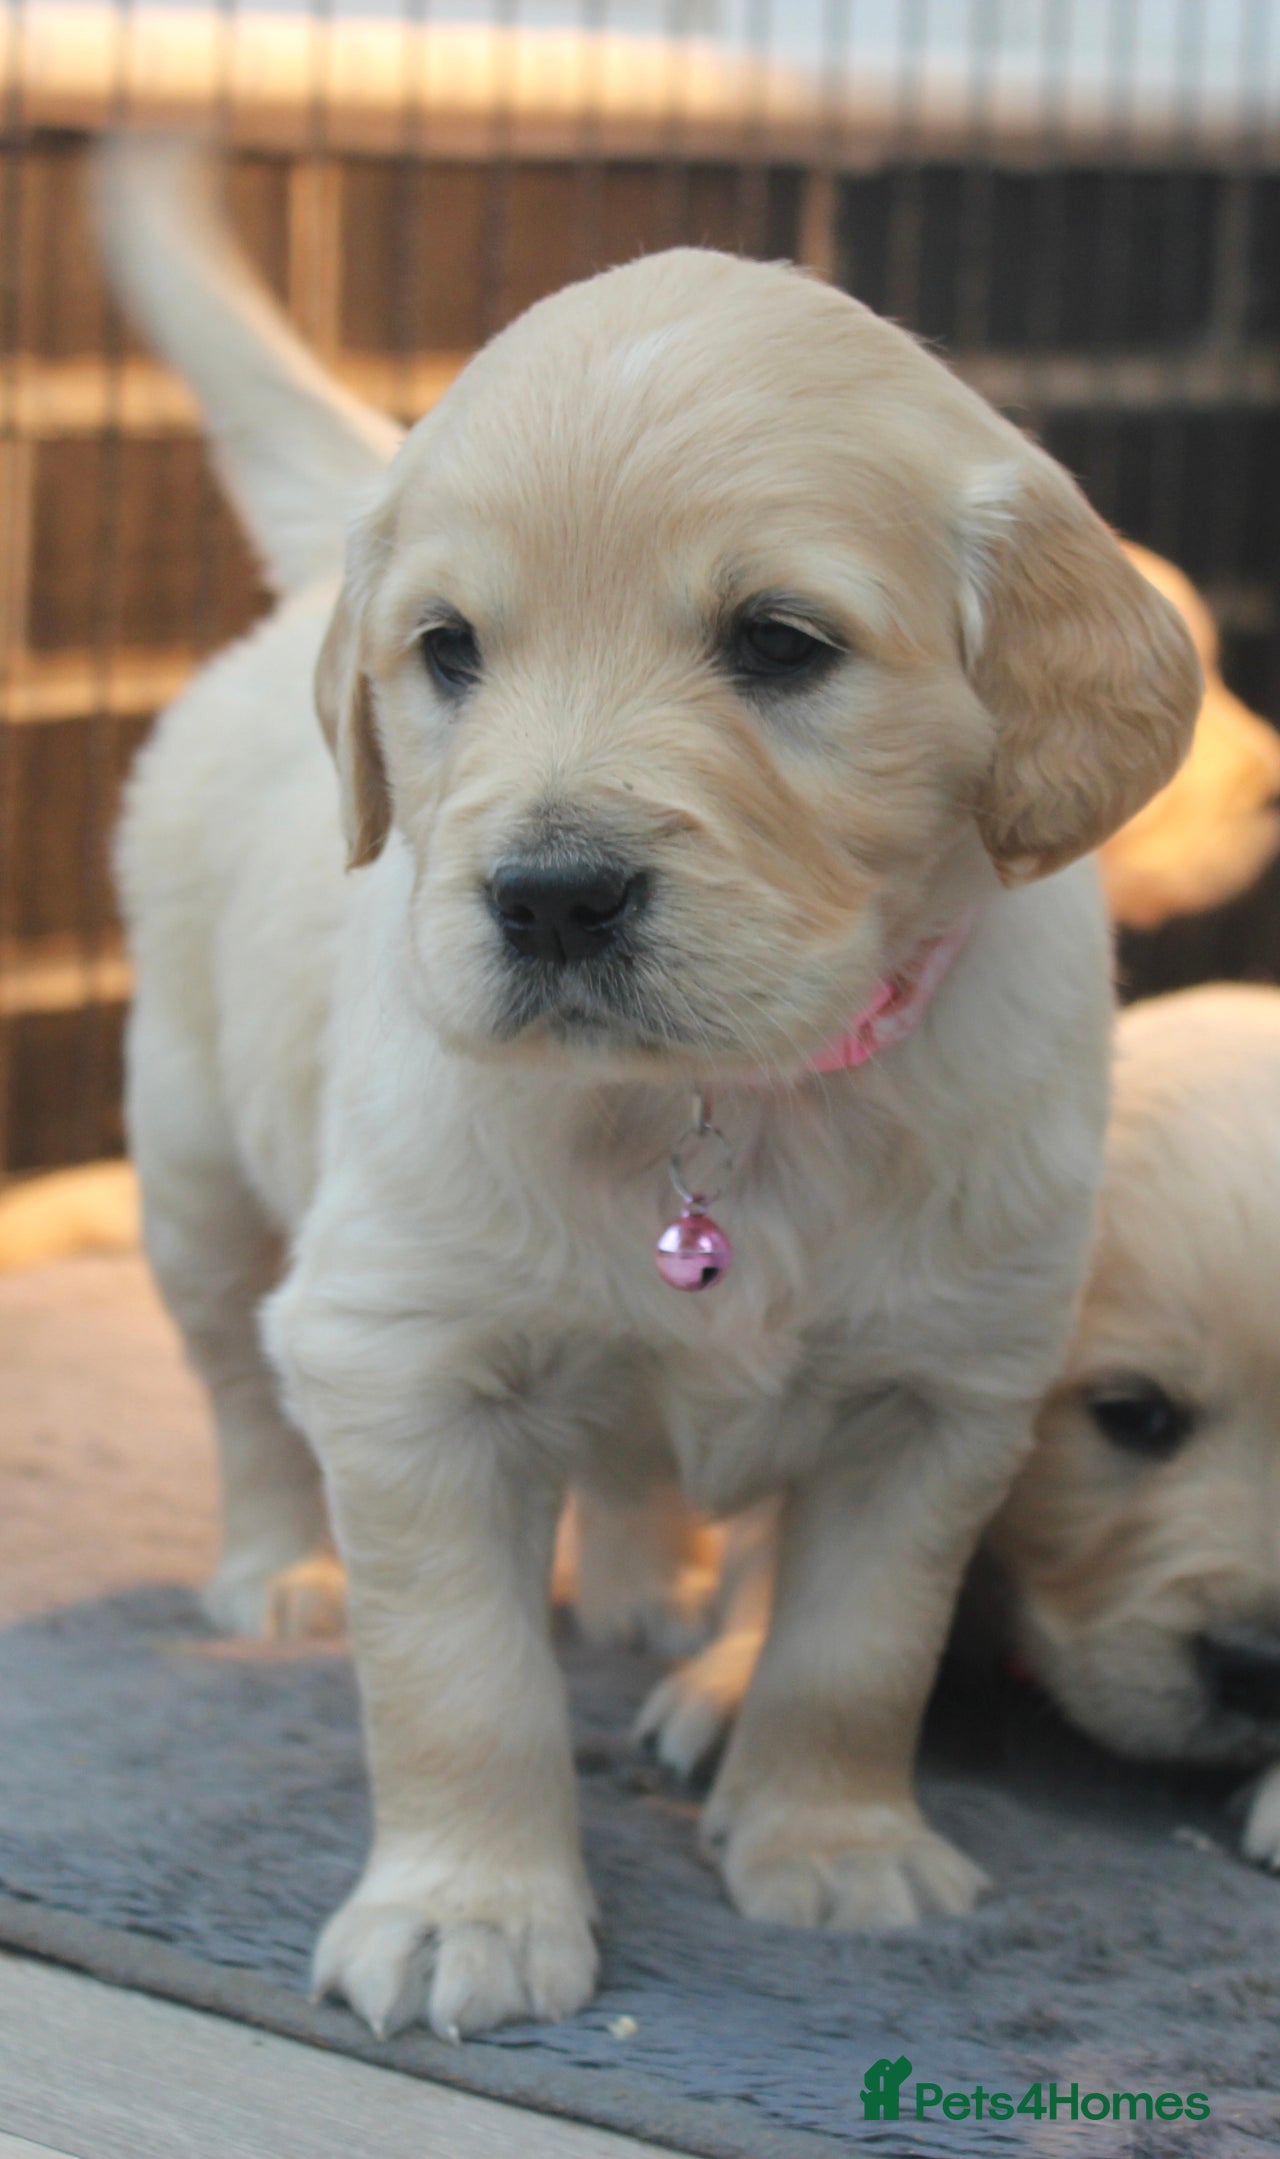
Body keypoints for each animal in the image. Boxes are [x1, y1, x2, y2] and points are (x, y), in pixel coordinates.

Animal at [97, 139, 1200, 2038]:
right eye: (449, 649)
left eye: (780, 641)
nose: (548, 894)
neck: (723, 1094)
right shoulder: (401, 1363)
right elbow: (458, 1677)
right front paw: (464, 1909)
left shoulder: (947, 1392)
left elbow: (858, 1650)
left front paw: (833, 1845)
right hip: (195, 1168)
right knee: (238, 1375)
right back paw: (282, 1564)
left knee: (626, 1460)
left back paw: (641, 1595)